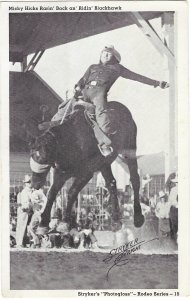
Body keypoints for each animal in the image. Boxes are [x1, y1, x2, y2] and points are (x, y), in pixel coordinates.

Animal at [28, 100, 144, 232]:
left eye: (44, 158)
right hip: (104, 164)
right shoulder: (61, 173)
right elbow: (52, 192)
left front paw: (65, 222)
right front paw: (43, 223)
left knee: (135, 179)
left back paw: (138, 217)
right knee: (111, 183)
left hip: (130, 149)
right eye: (33, 155)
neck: (71, 140)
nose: (35, 184)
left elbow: (72, 192)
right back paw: (115, 221)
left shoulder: (86, 173)